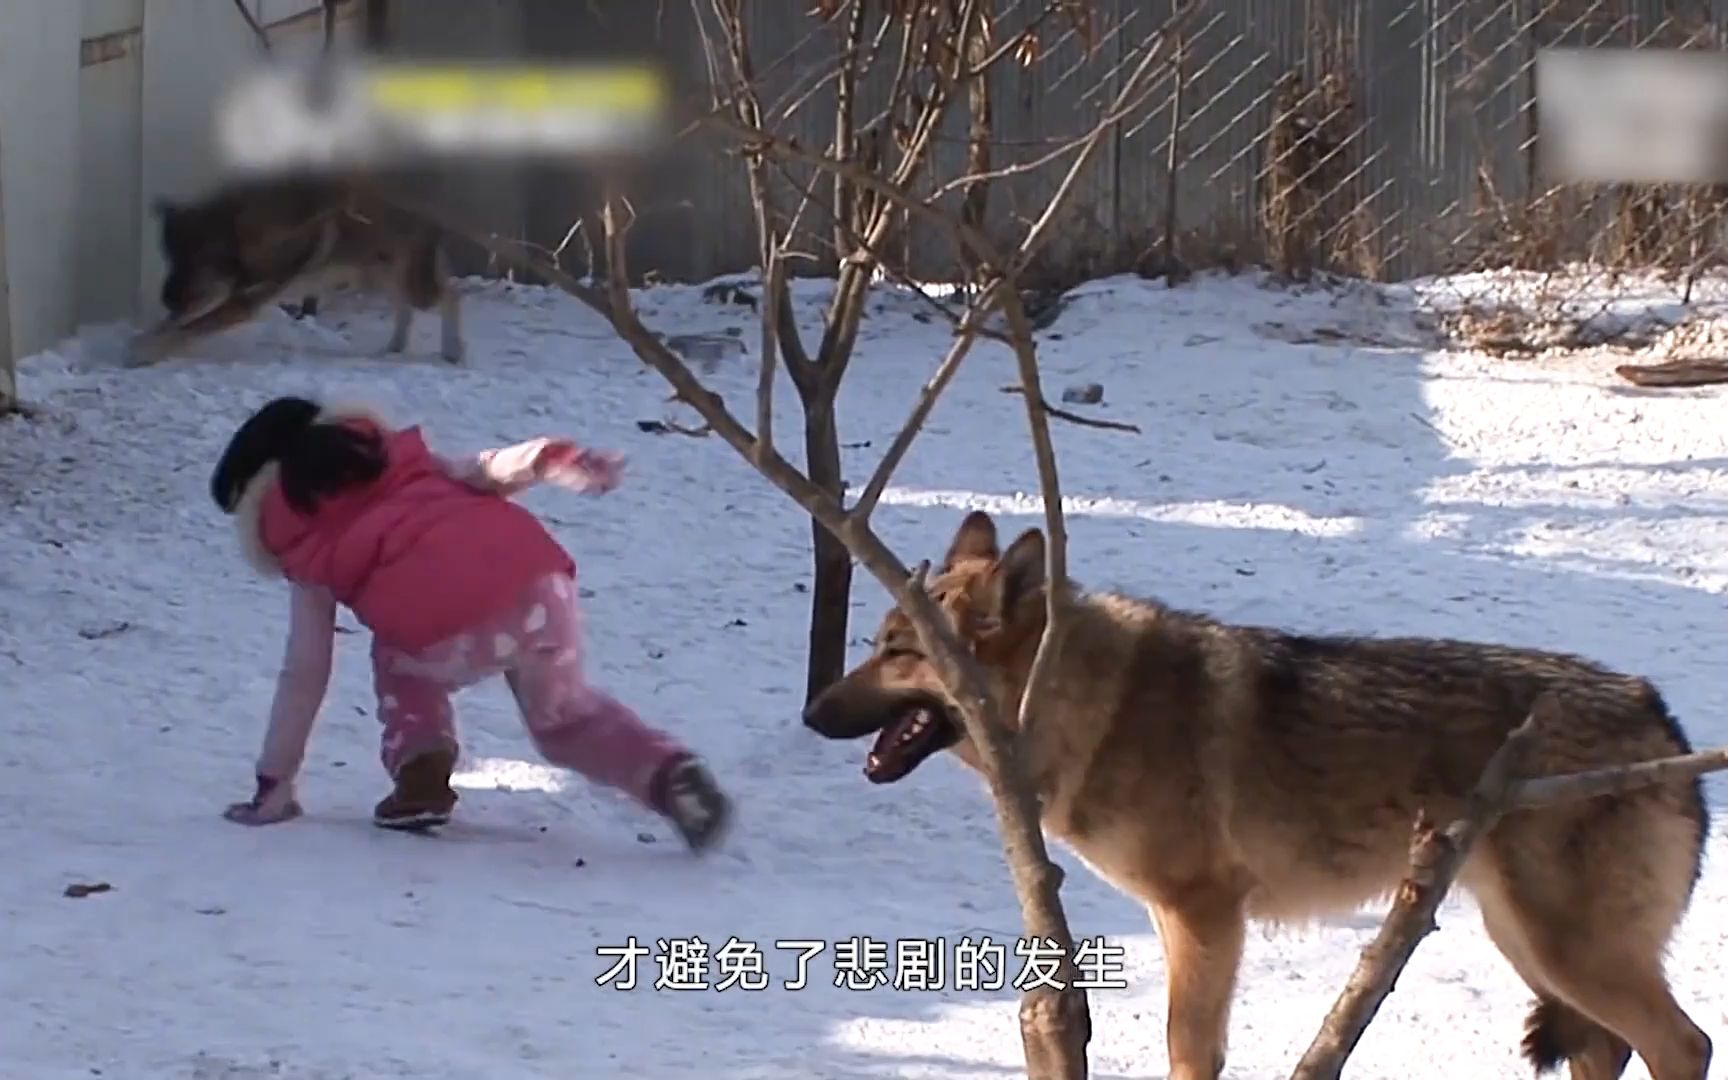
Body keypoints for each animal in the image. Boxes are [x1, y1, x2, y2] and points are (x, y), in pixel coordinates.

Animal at [126, 172, 466, 364]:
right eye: (170, 257)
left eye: (195, 260)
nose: (167, 299)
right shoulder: (221, 292)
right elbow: (175, 324)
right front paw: (144, 340)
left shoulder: (242, 301)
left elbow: (189, 328)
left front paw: (143, 354)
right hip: (377, 278)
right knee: (405, 307)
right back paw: (396, 346)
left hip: (413, 286)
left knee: (451, 293)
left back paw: (453, 351)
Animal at [801, 508, 1707, 1078]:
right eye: (877, 644)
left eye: (899, 653)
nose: (810, 713)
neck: (1089, 705)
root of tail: (1659, 712)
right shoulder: (1178, 921)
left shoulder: (1204, 914)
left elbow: (1187, 1051)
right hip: (1525, 942)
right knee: (1607, 1049)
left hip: (1562, 949)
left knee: (1683, 1047)